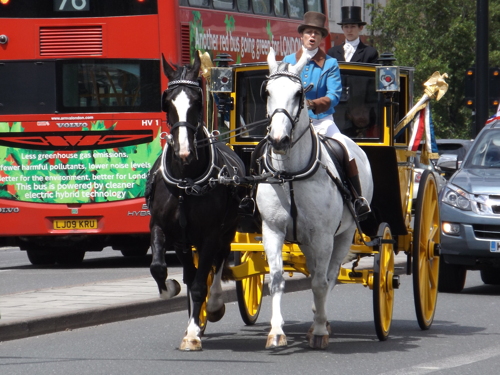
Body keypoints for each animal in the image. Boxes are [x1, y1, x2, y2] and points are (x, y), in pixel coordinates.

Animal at [146, 52, 245, 352]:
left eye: (197, 102)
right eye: (168, 101)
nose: (184, 152)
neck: (185, 182)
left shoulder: (211, 234)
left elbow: (203, 282)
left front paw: (193, 333)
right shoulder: (164, 229)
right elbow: (160, 268)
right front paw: (171, 289)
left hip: (227, 231)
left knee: (219, 262)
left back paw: (213, 306)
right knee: (195, 271)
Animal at [258, 48, 372, 352]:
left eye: (299, 93)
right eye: (267, 92)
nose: (279, 140)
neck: (290, 174)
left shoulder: (323, 236)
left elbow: (321, 283)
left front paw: (319, 330)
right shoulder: (272, 230)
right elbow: (276, 279)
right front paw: (276, 332)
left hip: (342, 236)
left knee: (329, 275)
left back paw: (320, 320)